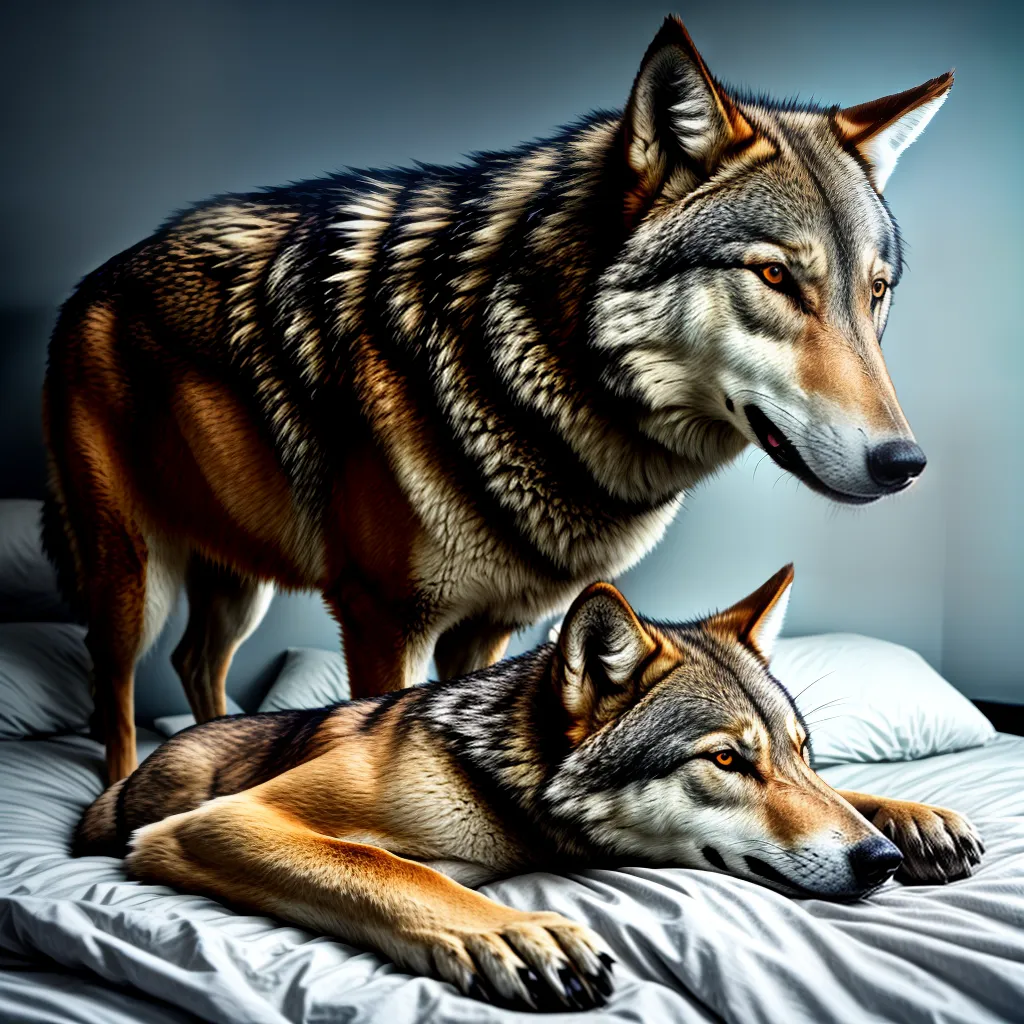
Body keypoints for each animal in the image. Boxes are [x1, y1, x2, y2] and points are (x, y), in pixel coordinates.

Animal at [43, 15, 953, 780]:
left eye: (875, 293)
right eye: (773, 276)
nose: (906, 464)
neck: (524, 364)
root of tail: (93, 282)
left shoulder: (487, 626)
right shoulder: (382, 621)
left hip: (240, 580)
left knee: (195, 661)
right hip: (134, 576)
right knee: (113, 687)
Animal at [75, 567, 983, 1011]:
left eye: (803, 754)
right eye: (727, 762)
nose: (879, 863)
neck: (495, 790)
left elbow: (856, 798)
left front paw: (912, 819)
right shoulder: (227, 820)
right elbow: (393, 871)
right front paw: (515, 934)